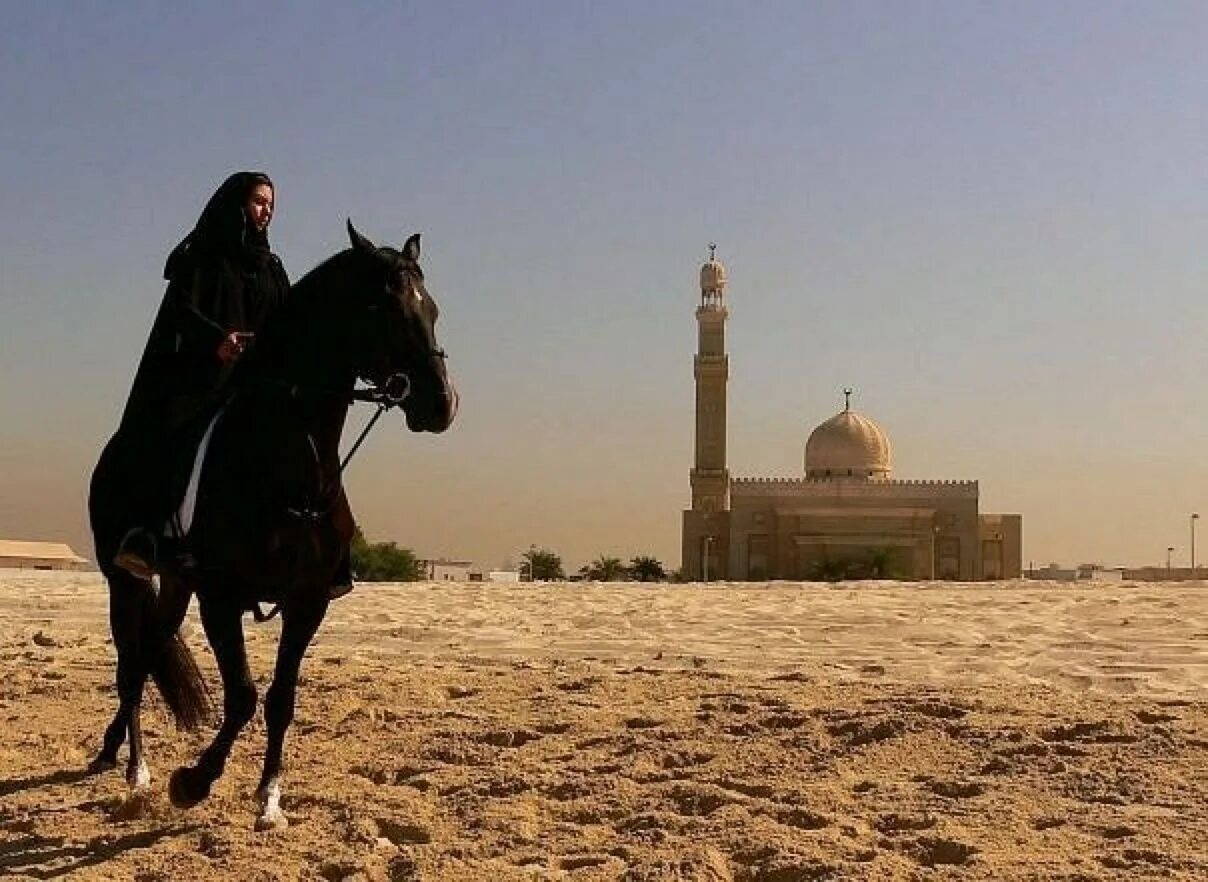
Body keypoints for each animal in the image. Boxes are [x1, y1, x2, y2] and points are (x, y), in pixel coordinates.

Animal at [87, 219, 456, 826]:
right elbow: (242, 696)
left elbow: (282, 698)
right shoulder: (220, 597)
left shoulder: (307, 602)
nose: (442, 404)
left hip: (175, 585)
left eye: (433, 309)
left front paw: (270, 797)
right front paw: (191, 782)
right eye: (384, 308)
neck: (286, 464)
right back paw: (136, 771)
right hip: (124, 578)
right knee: (132, 664)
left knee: (150, 651)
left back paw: (115, 752)